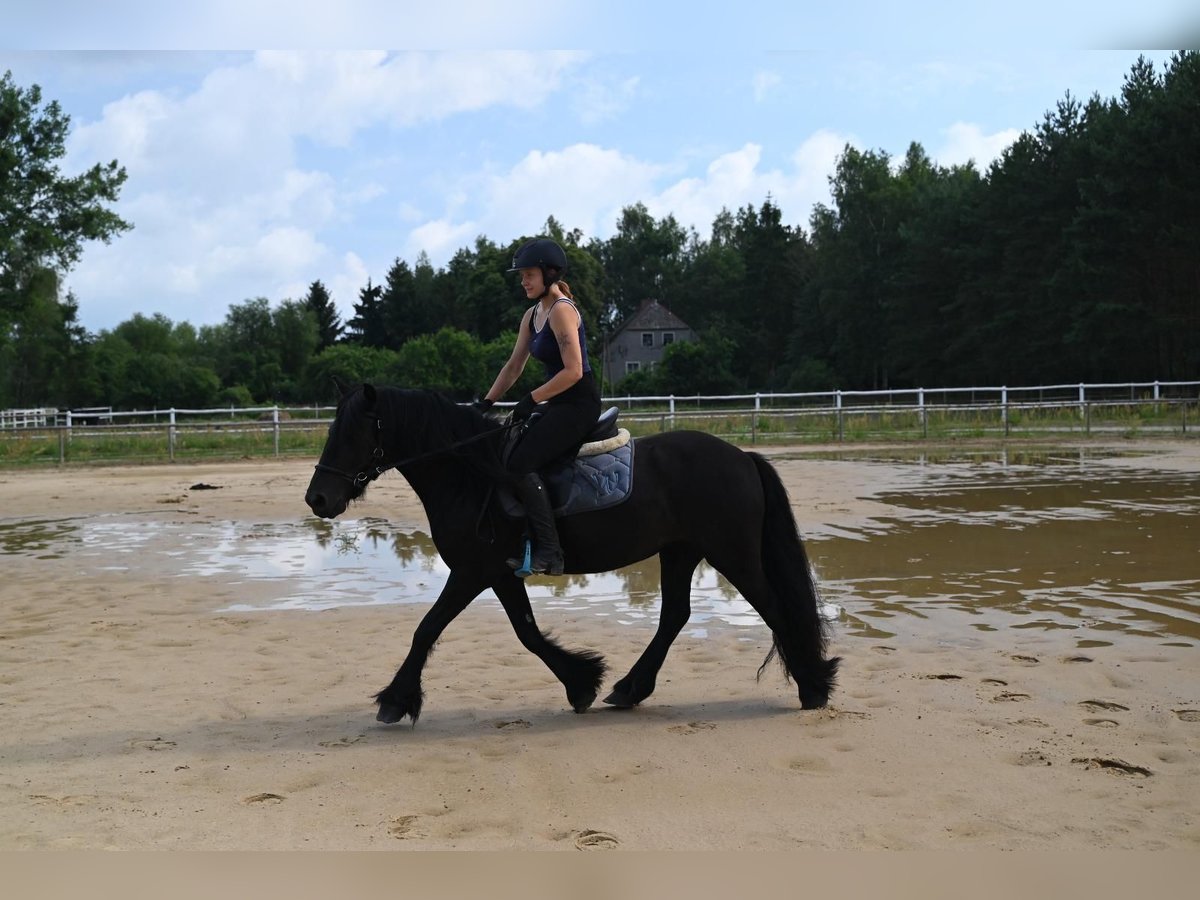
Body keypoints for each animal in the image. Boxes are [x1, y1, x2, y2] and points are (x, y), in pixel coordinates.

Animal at [304, 382, 840, 725]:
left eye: (354, 432)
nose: (318, 499)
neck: (470, 474)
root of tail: (741, 457)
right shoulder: (499, 573)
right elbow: (525, 631)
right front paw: (584, 682)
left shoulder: (475, 571)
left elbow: (430, 628)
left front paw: (396, 700)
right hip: (681, 551)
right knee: (675, 616)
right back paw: (629, 688)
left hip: (731, 552)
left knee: (772, 607)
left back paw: (813, 686)